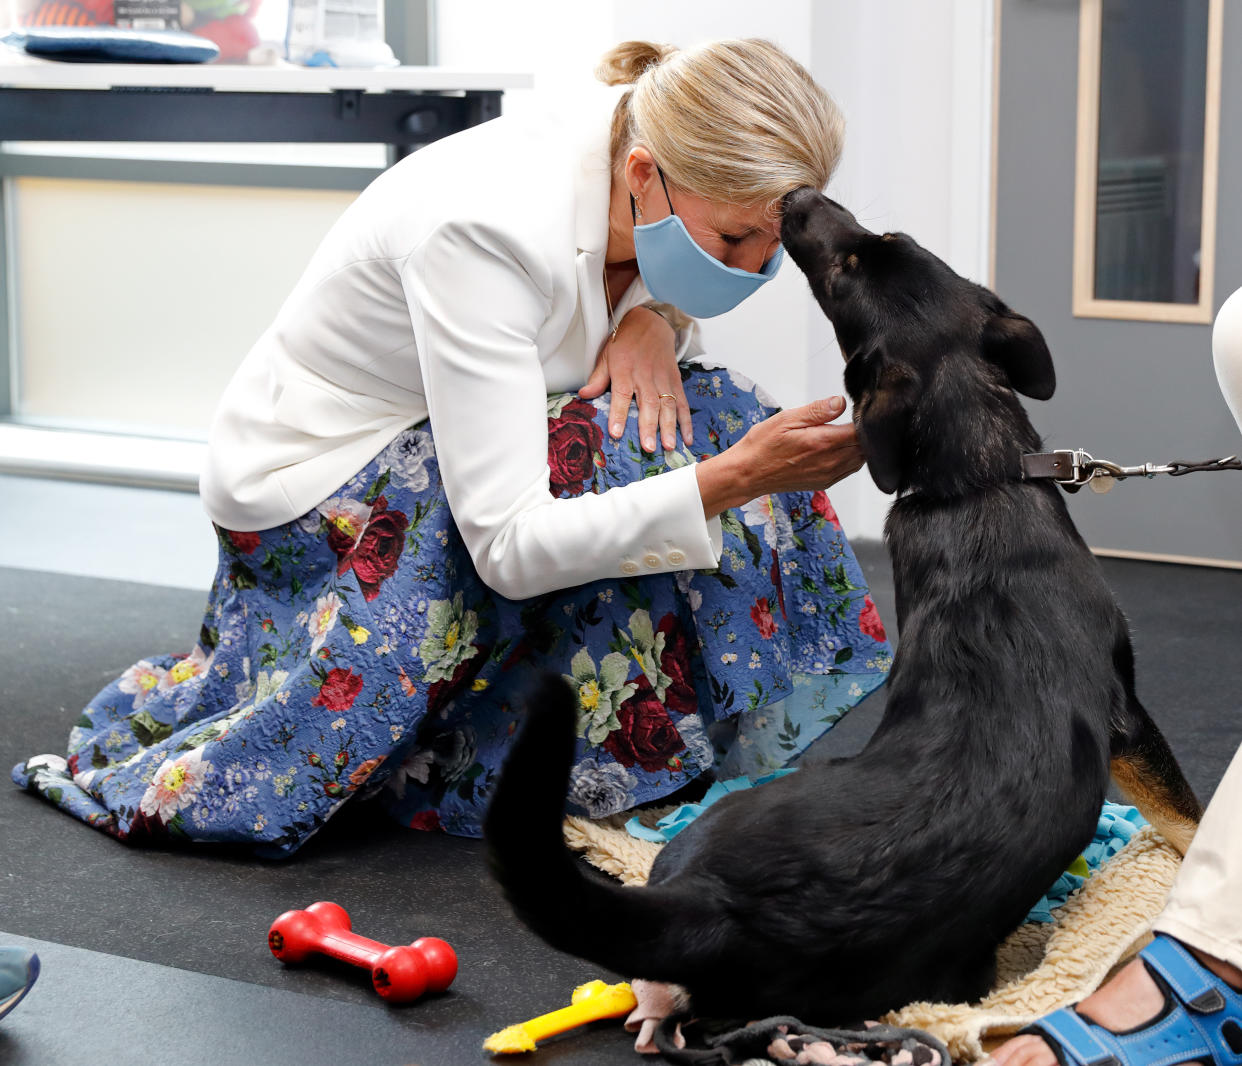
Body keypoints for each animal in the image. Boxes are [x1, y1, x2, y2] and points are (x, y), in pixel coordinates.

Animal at [479, 188, 1197, 1023]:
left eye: (876, 247)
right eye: (849, 264)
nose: (795, 197)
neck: (973, 481)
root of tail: (711, 908)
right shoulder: (1130, 718)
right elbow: (1185, 816)